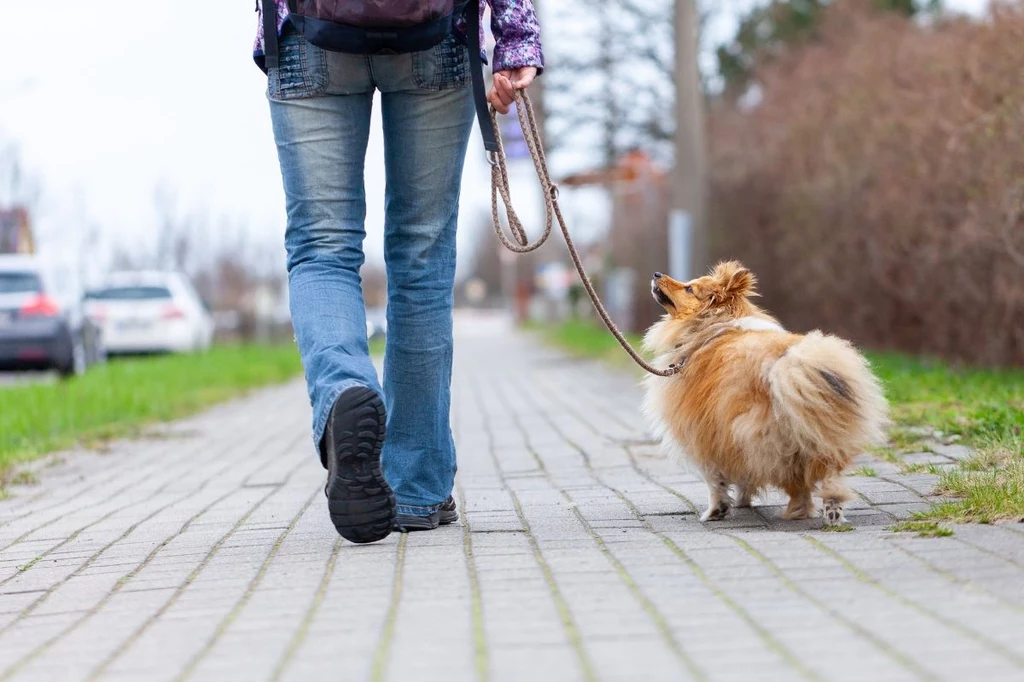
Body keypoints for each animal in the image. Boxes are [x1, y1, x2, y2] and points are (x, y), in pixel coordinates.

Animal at [638, 262, 888, 522]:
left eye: (689, 288)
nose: (657, 273)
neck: (712, 325)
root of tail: (786, 361)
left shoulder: (703, 432)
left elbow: (714, 480)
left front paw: (717, 510)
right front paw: (742, 500)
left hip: (764, 437)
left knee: (795, 481)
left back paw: (797, 511)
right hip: (819, 434)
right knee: (828, 476)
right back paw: (830, 511)